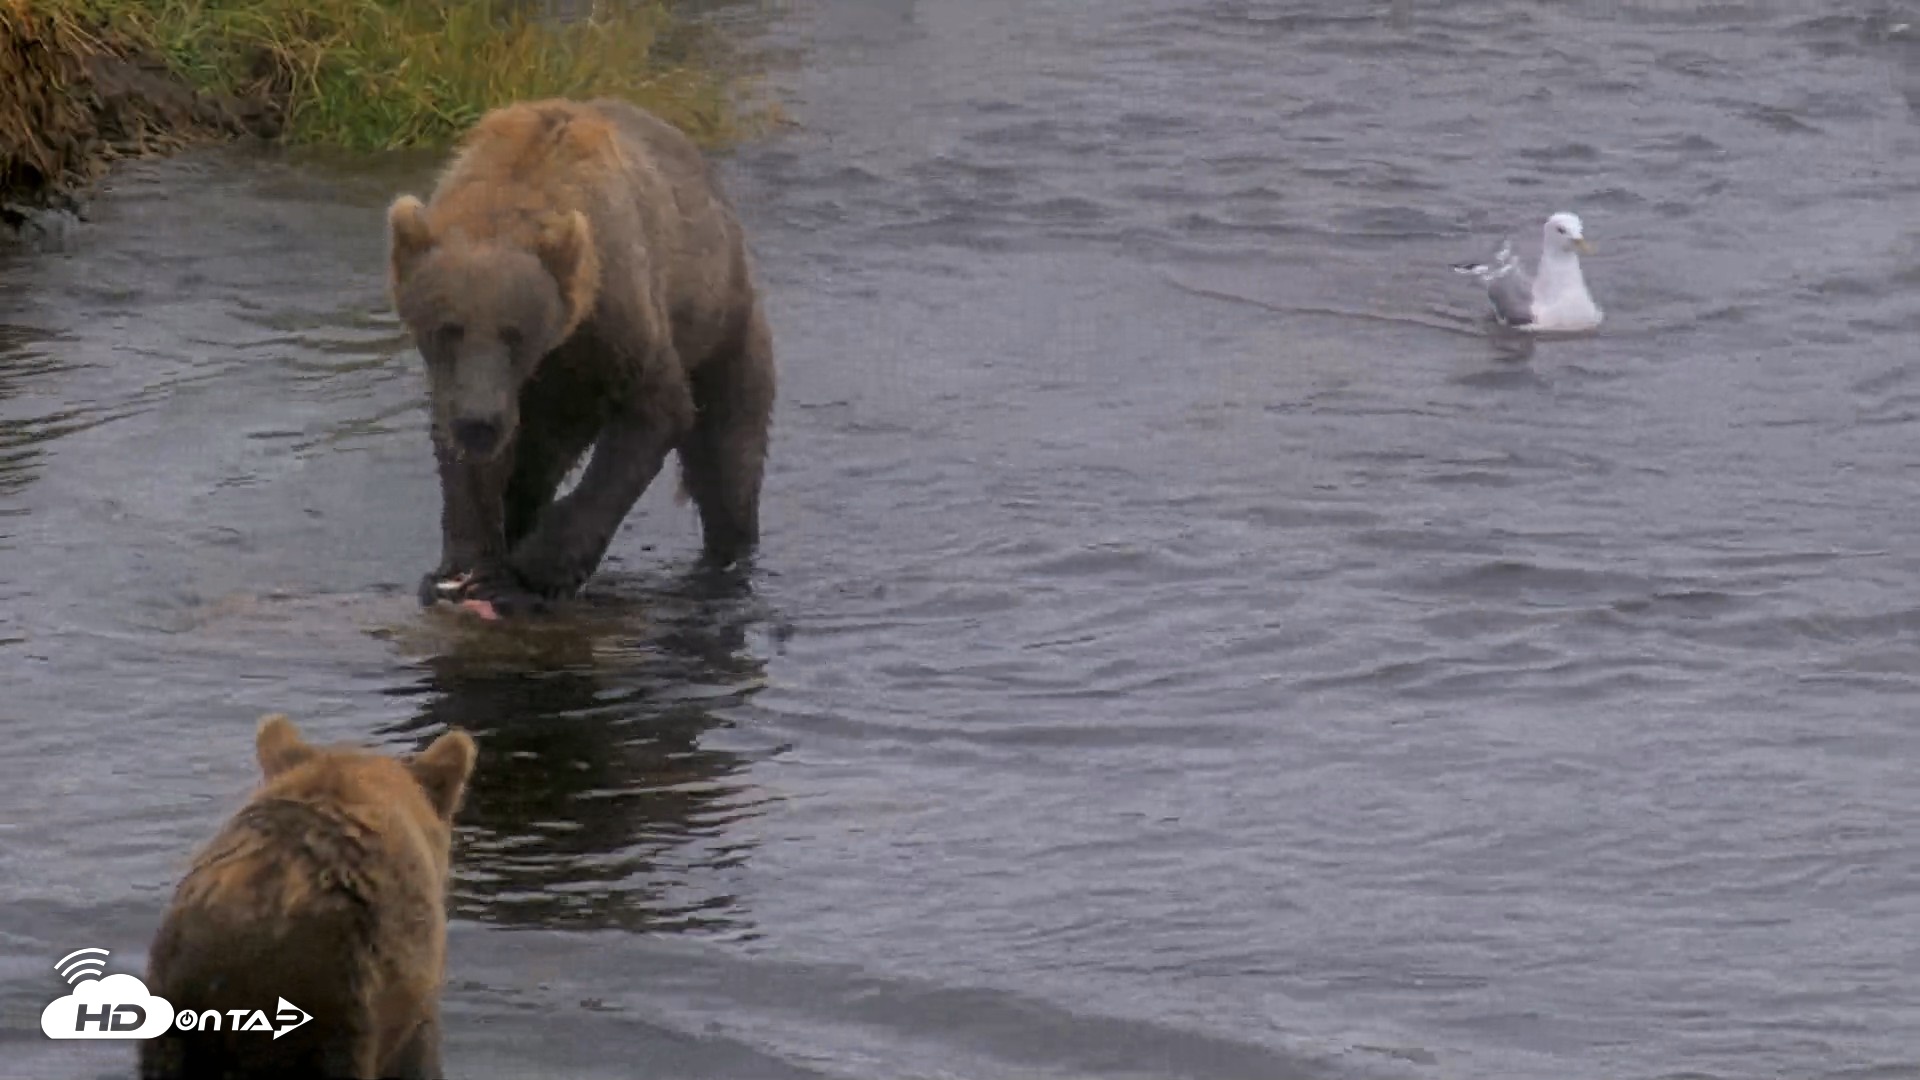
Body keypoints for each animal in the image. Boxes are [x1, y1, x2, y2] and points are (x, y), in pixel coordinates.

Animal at [385, 98, 777, 617]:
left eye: (515, 333)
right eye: (447, 329)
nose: (479, 423)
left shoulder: (619, 320)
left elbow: (654, 414)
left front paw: (527, 576)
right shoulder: (483, 382)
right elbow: (469, 462)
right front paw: (459, 568)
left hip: (725, 336)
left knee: (729, 459)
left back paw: (727, 554)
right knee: (536, 465)